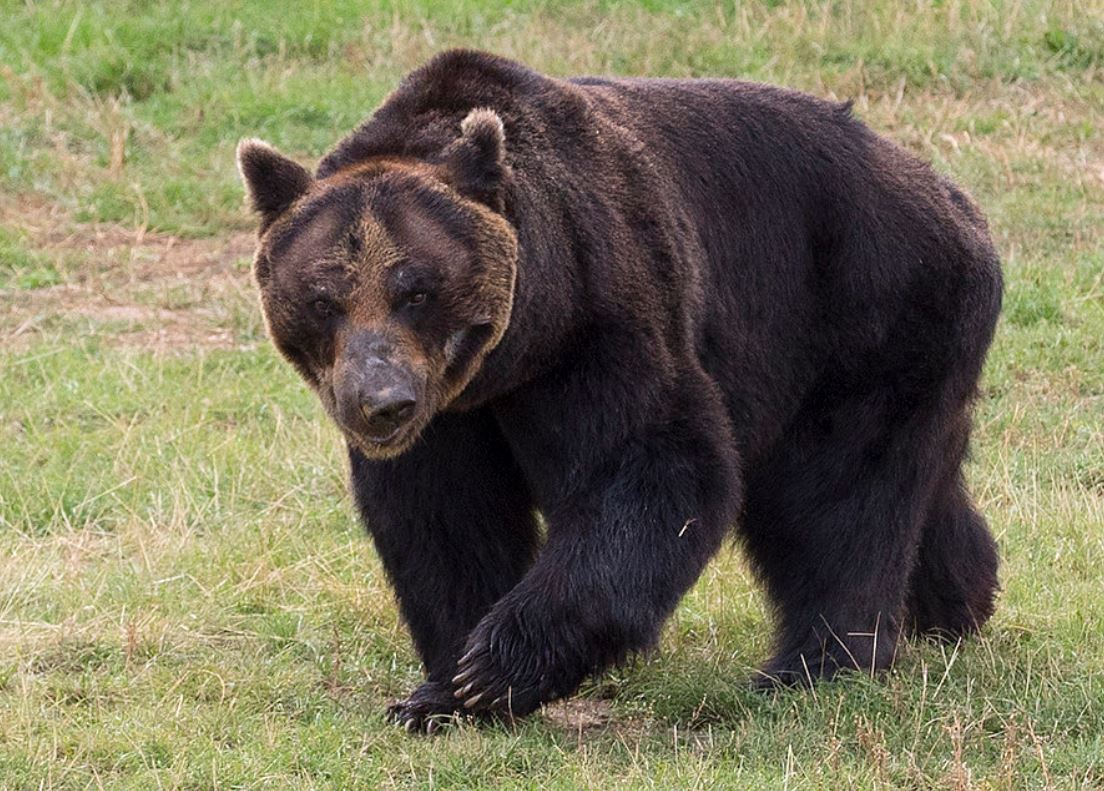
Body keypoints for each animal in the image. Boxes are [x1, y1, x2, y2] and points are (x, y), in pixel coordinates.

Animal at [237, 49, 1002, 732]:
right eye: (323, 298)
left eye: (415, 289)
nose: (381, 401)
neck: (511, 358)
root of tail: (954, 197)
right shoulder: (453, 414)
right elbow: (444, 518)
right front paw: (440, 692)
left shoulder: (601, 312)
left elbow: (651, 466)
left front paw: (496, 666)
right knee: (916, 482)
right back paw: (958, 602)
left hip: (866, 312)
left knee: (837, 493)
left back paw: (814, 665)